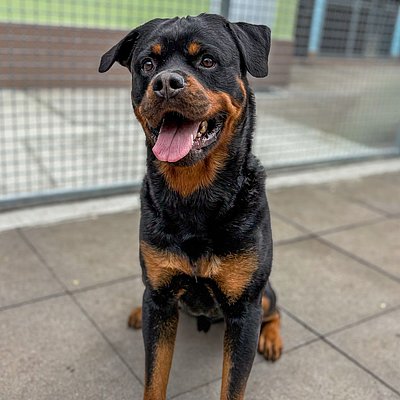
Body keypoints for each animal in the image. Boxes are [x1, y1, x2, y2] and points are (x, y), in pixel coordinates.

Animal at [99, 13, 282, 399]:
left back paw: (272, 339)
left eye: (207, 61)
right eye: (147, 65)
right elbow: (154, 377)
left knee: (275, 310)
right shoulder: (161, 300)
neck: (194, 197)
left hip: (264, 295)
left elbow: (234, 385)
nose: (165, 83)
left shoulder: (246, 309)